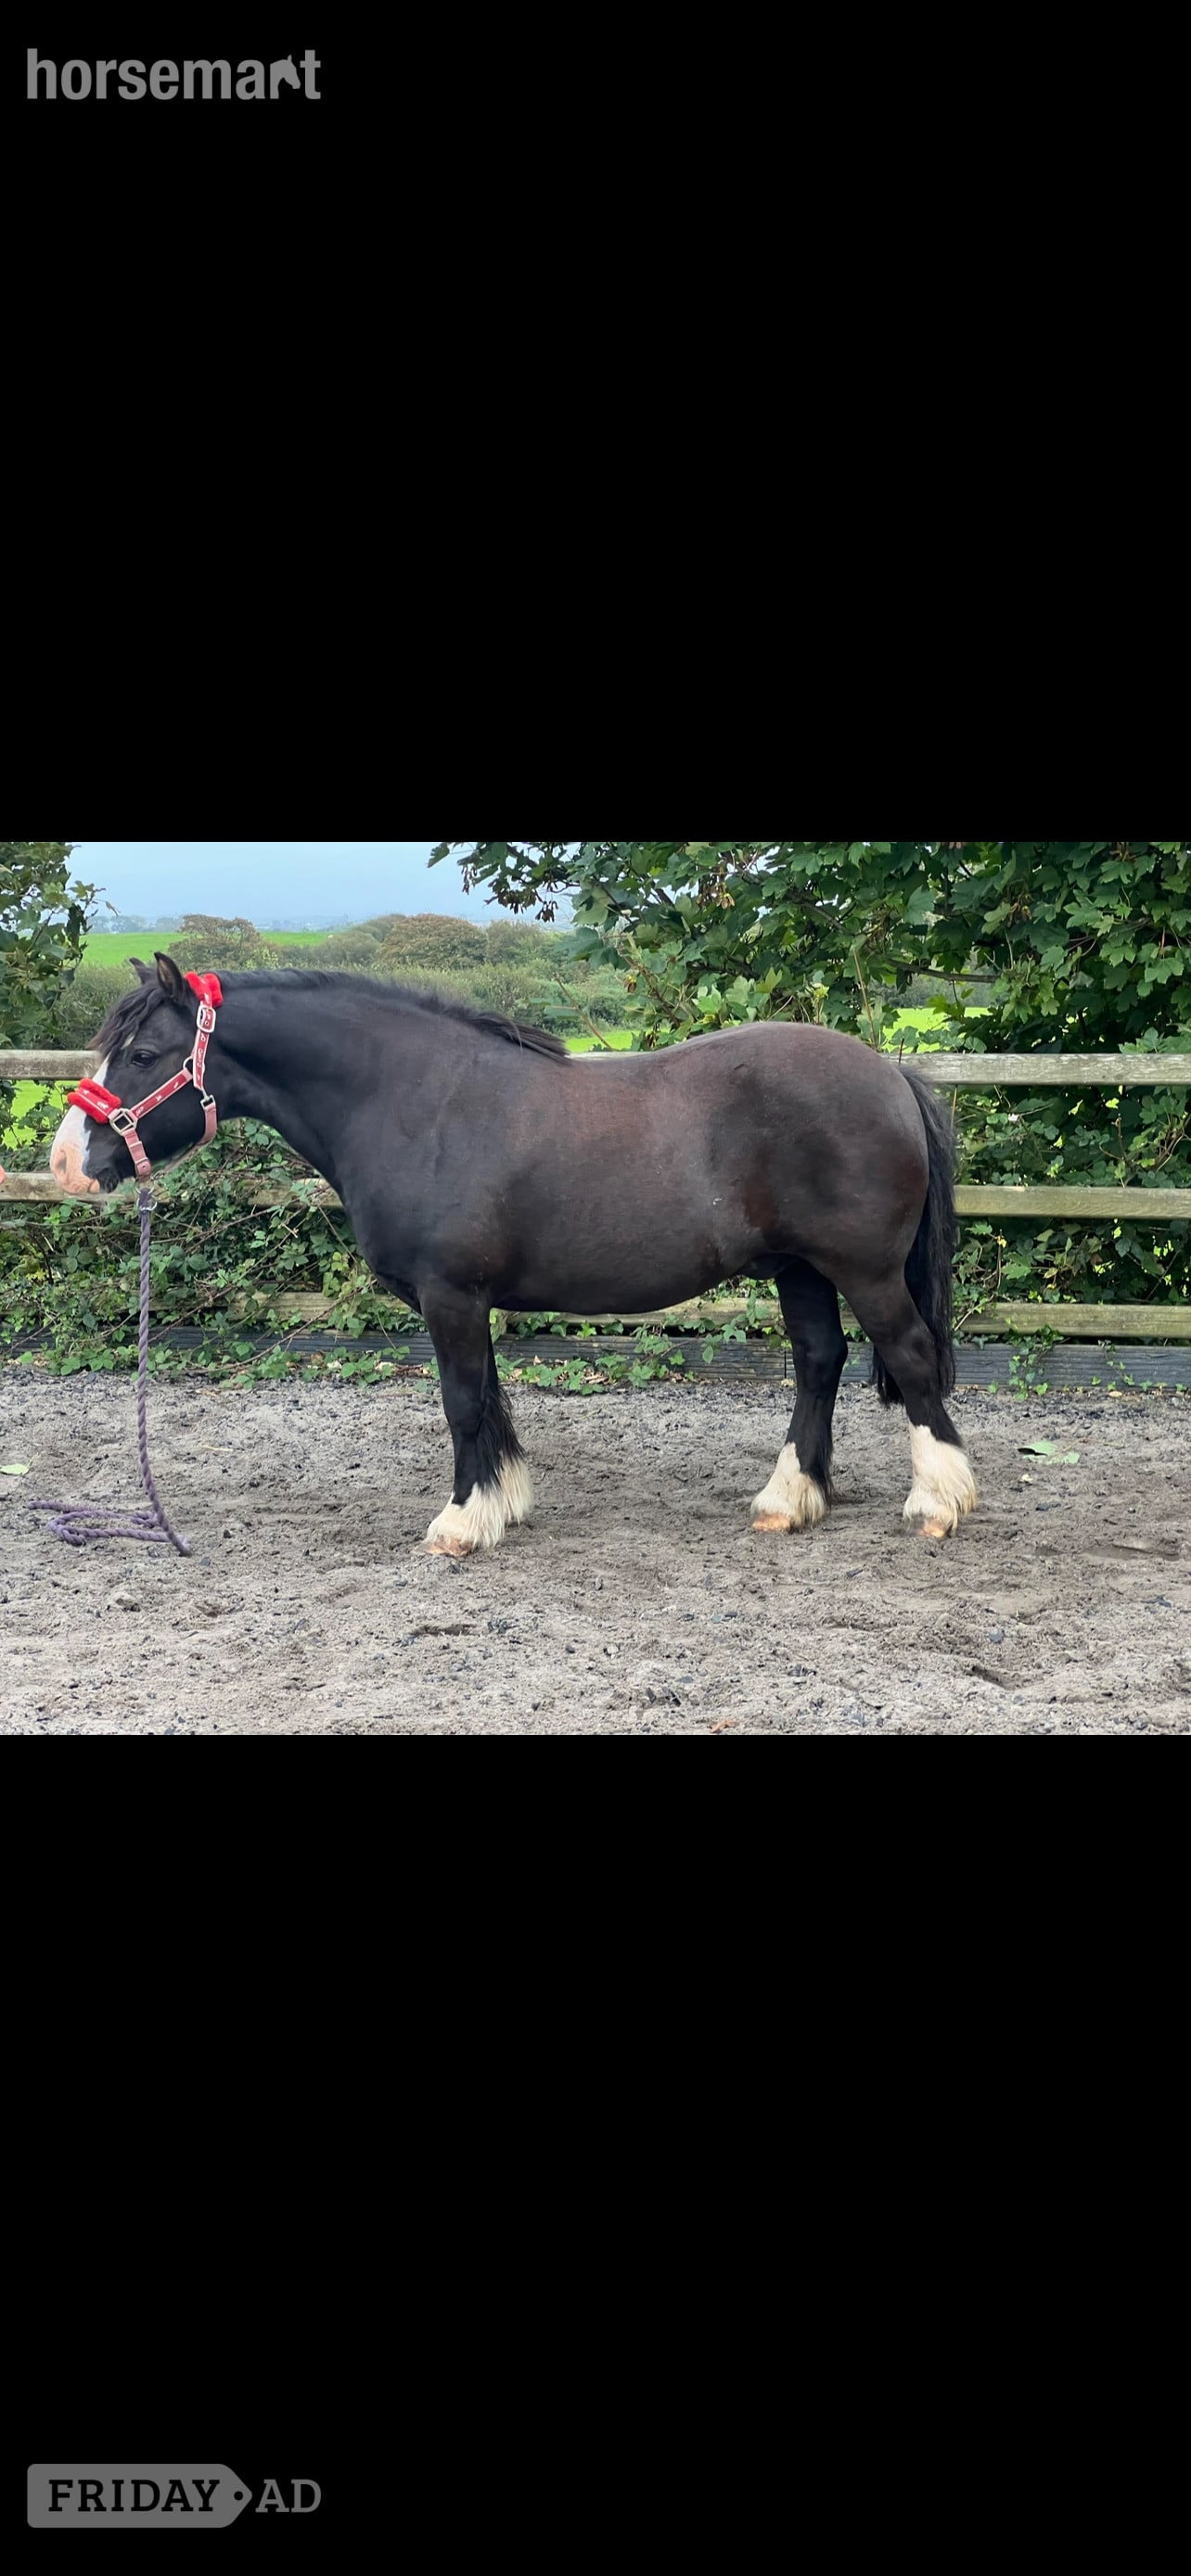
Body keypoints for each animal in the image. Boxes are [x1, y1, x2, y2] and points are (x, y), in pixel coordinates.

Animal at [49, 954, 977, 1554]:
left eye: (142, 1055)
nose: (64, 1163)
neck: (414, 1101)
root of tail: (891, 1076)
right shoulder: (464, 1299)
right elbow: (489, 1400)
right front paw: (501, 1505)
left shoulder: (450, 1295)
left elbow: (463, 1402)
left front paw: (461, 1523)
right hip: (800, 1270)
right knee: (820, 1359)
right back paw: (790, 1500)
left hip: (861, 1269)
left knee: (910, 1356)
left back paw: (937, 1504)